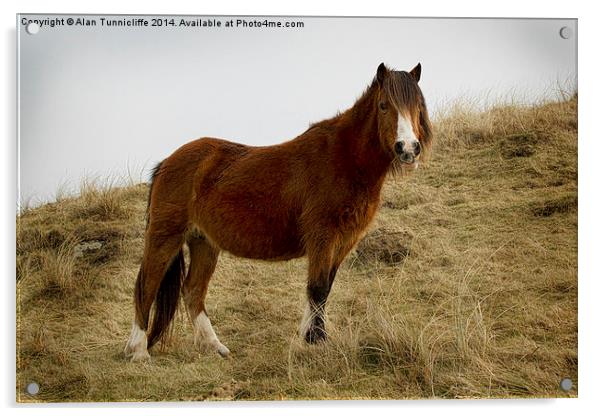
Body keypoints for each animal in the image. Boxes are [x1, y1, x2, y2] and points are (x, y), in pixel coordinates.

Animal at [124, 61, 428, 360]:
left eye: (417, 106)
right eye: (384, 105)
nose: (408, 148)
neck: (345, 159)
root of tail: (167, 163)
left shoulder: (343, 242)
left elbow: (323, 289)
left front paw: (309, 337)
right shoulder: (323, 237)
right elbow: (317, 288)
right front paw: (316, 341)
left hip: (204, 243)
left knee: (193, 290)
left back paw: (214, 346)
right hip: (166, 237)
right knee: (147, 285)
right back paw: (138, 351)